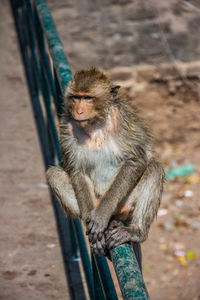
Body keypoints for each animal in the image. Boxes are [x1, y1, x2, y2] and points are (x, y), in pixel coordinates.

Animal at [46, 66, 164, 268]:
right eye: (76, 97)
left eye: (88, 98)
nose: (78, 111)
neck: (95, 123)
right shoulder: (66, 125)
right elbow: (77, 171)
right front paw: (93, 224)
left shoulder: (124, 120)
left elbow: (136, 160)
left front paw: (101, 216)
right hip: (97, 200)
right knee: (53, 174)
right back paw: (107, 226)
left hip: (126, 202)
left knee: (155, 169)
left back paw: (134, 231)